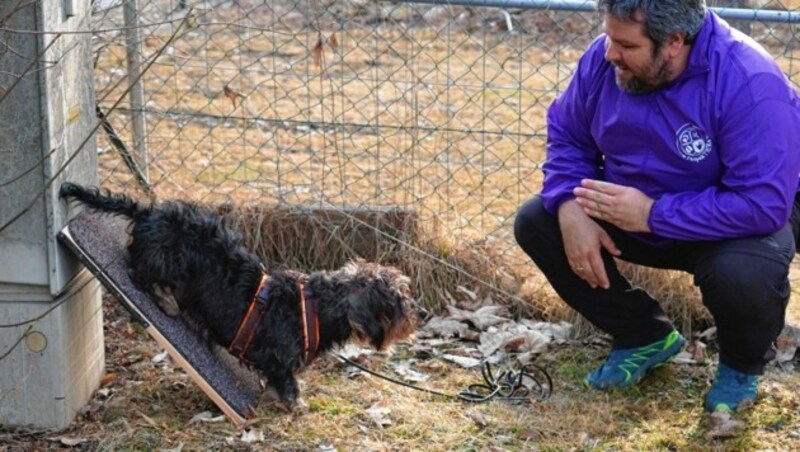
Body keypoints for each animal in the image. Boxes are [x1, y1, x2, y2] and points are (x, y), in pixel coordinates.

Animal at [58, 182, 428, 412]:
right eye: (398, 299)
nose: (423, 314)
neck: (314, 310)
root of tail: (148, 213)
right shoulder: (279, 360)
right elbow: (289, 385)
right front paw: (296, 407)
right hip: (168, 259)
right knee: (138, 270)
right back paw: (167, 300)